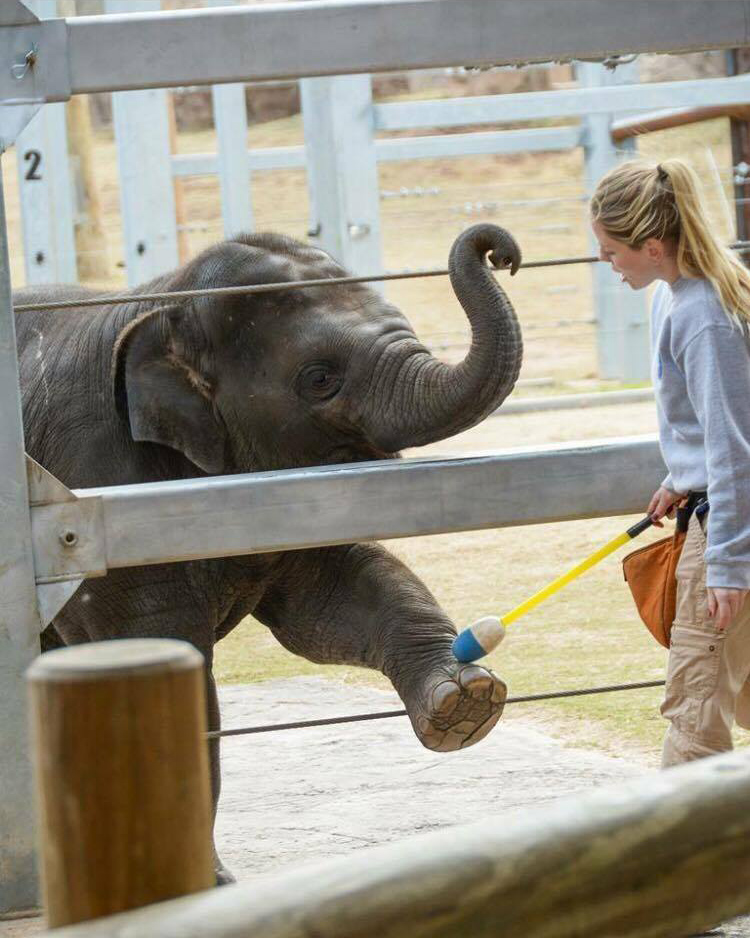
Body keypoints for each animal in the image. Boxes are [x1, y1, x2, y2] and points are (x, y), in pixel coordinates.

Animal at [16, 223, 524, 880]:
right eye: (319, 378)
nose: (500, 251)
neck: (160, 300)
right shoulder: (93, 497)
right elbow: (172, 666)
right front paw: (206, 883)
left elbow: (332, 603)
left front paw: (463, 702)